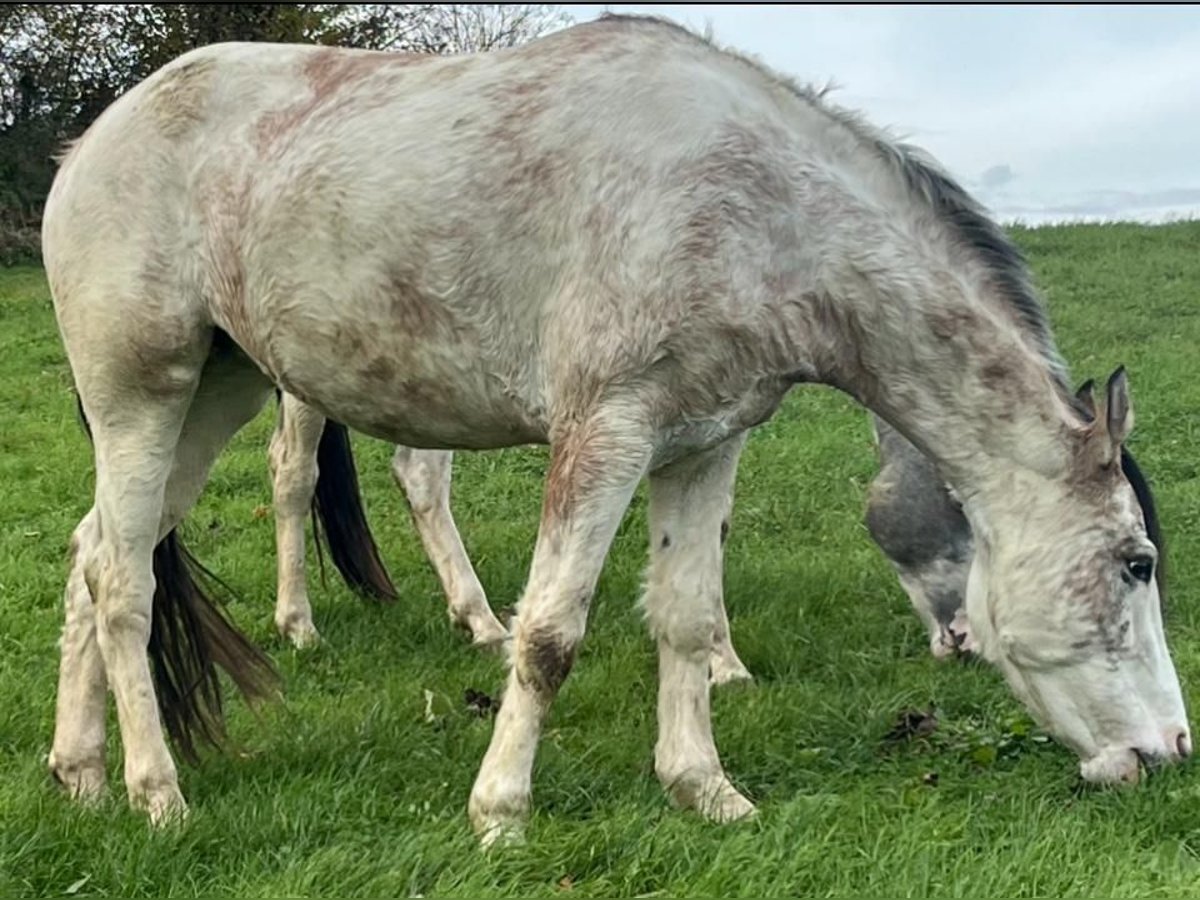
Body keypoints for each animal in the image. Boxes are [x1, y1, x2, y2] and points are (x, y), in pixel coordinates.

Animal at [42, 14, 1185, 844]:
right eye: (1135, 564)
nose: (1170, 754)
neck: (750, 208)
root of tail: (92, 140)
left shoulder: (704, 443)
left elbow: (684, 615)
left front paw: (706, 791)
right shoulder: (606, 434)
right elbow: (550, 634)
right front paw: (500, 815)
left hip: (214, 396)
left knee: (94, 555)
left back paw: (81, 774)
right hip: (144, 398)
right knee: (128, 584)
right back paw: (157, 795)